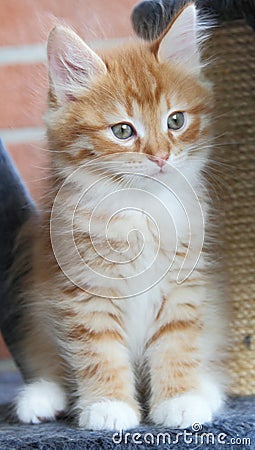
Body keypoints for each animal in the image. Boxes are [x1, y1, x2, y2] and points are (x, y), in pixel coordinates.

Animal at [13, 4, 225, 432]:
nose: (161, 156)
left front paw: (180, 399)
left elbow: (177, 343)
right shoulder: (83, 290)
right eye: (123, 130)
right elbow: (99, 353)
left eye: (175, 121)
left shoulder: (184, 286)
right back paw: (41, 399)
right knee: (47, 361)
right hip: (39, 321)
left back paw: (205, 391)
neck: (140, 211)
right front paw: (108, 406)